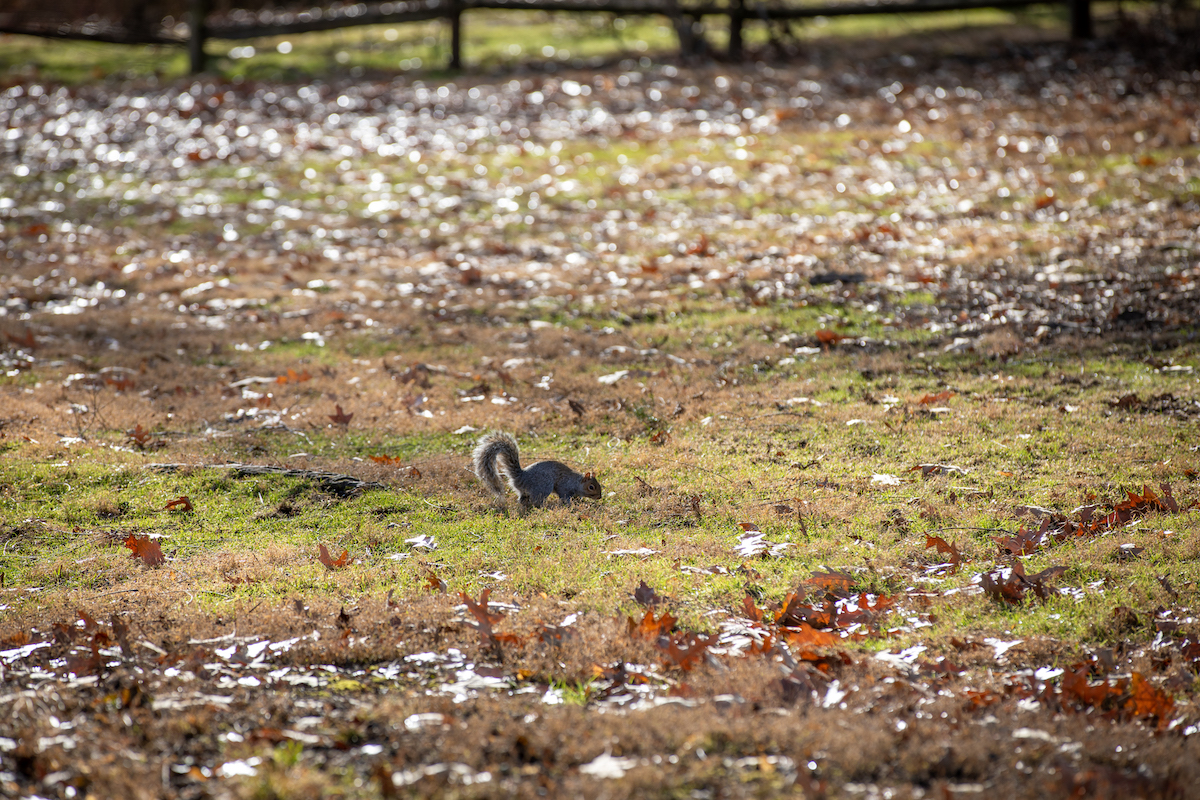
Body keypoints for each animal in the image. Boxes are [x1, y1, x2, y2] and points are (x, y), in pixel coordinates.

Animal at [472, 431, 602, 510]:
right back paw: (545, 508)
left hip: (525, 492)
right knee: (536, 501)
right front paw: (570, 505)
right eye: (591, 487)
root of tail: (521, 477)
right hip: (543, 487)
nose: (600, 497)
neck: (576, 482)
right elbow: (564, 497)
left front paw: (579, 502)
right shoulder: (564, 487)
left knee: (522, 500)